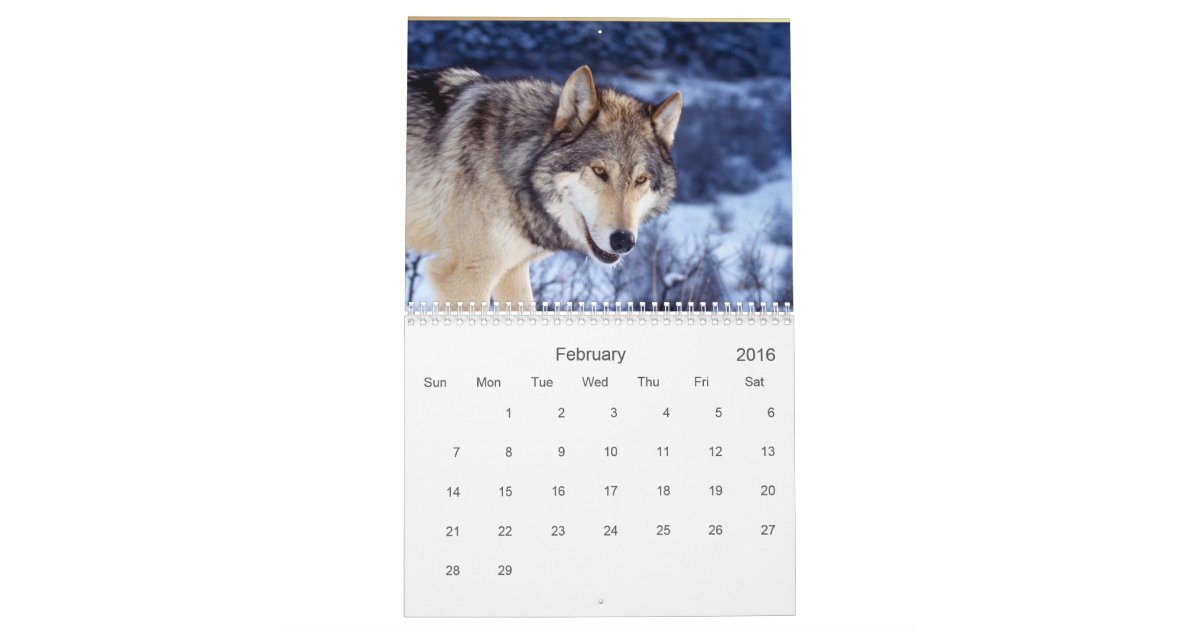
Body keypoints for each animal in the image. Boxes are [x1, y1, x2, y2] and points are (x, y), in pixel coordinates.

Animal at [406, 65, 682, 305]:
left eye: (641, 180)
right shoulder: (464, 276)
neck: (518, 166)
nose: (623, 241)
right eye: (599, 171)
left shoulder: (512, 271)